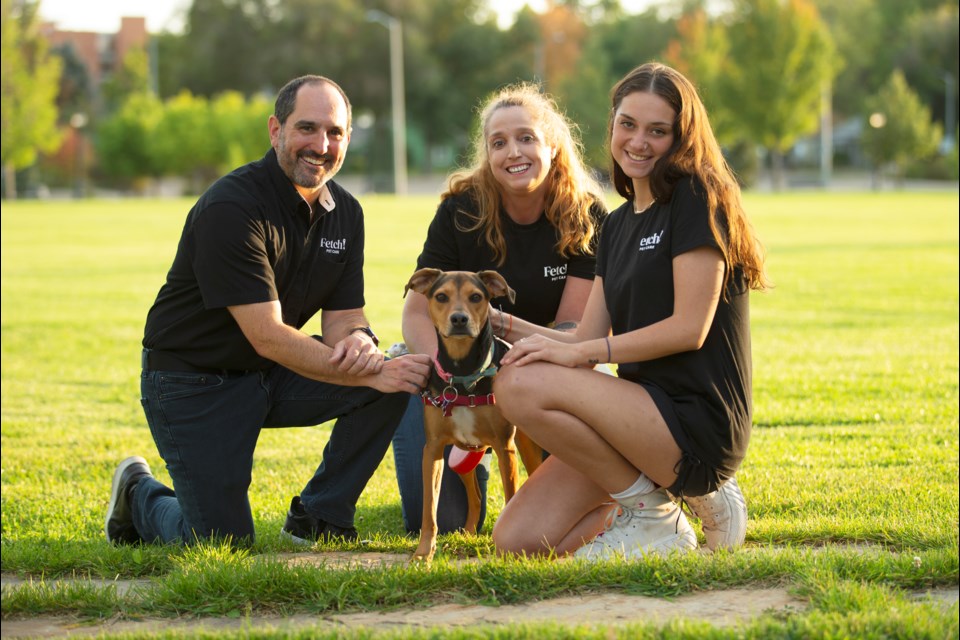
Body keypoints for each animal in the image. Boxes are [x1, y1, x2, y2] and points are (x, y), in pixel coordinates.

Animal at [404, 268, 540, 564]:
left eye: (476, 297)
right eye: (441, 297)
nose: (459, 319)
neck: (462, 374)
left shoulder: (505, 448)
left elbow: (511, 496)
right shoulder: (432, 450)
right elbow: (429, 510)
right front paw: (423, 553)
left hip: (525, 444)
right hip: (462, 457)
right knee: (475, 496)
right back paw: (466, 534)